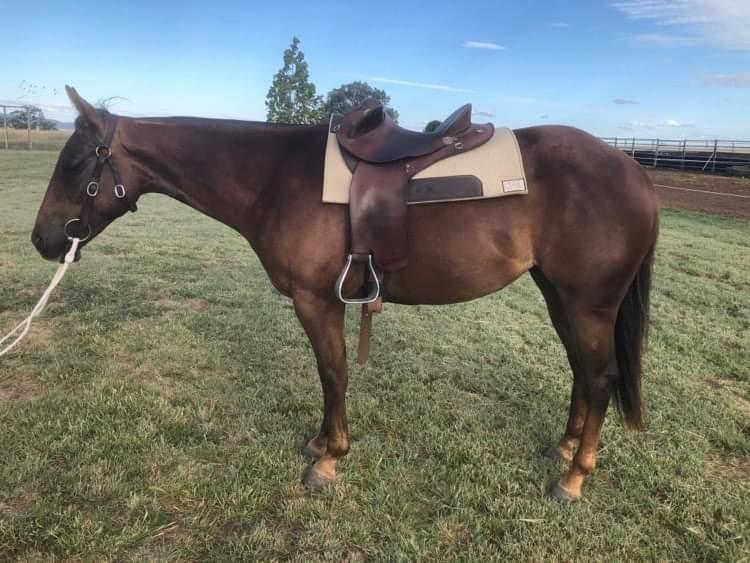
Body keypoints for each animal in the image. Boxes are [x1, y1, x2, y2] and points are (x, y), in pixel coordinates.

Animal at [31, 87, 659, 502]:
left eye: (74, 162)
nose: (41, 239)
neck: (274, 177)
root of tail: (634, 172)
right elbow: (329, 375)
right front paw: (320, 445)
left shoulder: (316, 300)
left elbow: (332, 372)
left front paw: (329, 460)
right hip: (560, 296)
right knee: (582, 370)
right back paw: (565, 449)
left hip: (588, 302)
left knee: (600, 377)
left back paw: (574, 477)